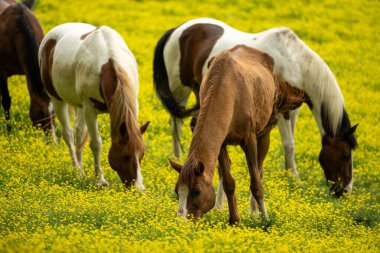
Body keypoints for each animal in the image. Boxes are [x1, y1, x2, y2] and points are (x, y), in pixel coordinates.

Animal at [39, 23, 150, 189]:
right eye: (125, 156)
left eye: (142, 154)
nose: (138, 189)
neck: (108, 63)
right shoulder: (90, 109)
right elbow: (96, 144)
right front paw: (100, 180)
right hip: (57, 100)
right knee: (68, 134)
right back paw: (77, 170)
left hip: (79, 107)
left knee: (78, 133)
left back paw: (81, 169)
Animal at [153, 17, 358, 203]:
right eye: (346, 155)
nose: (345, 191)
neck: (295, 61)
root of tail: (177, 29)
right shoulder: (281, 111)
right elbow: (289, 144)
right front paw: (295, 179)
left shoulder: (293, 109)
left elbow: (290, 143)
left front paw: (289, 175)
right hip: (180, 88)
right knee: (175, 122)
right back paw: (178, 155)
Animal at [168, 45, 304, 223]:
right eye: (177, 191)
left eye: (196, 191)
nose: (181, 222)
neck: (228, 90)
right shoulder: (221, 144)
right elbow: (228, 183)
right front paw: (234, 221)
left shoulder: (249, 140)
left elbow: (256, 184)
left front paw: (265, 219)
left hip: (264, 134)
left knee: (259, 170)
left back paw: (255, 211)